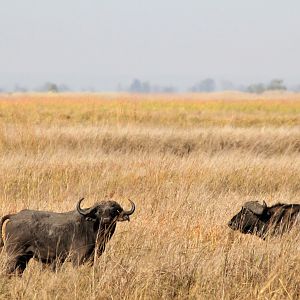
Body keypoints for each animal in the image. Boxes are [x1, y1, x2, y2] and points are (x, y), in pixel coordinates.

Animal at [0, 198, 135, 276]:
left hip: (24, 258)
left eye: (113, 211)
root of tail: (14, 216)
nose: (106, 220)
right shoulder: (77, 258)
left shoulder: (92, 259)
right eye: (99, 211)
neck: (96, 232)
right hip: (14, 255)